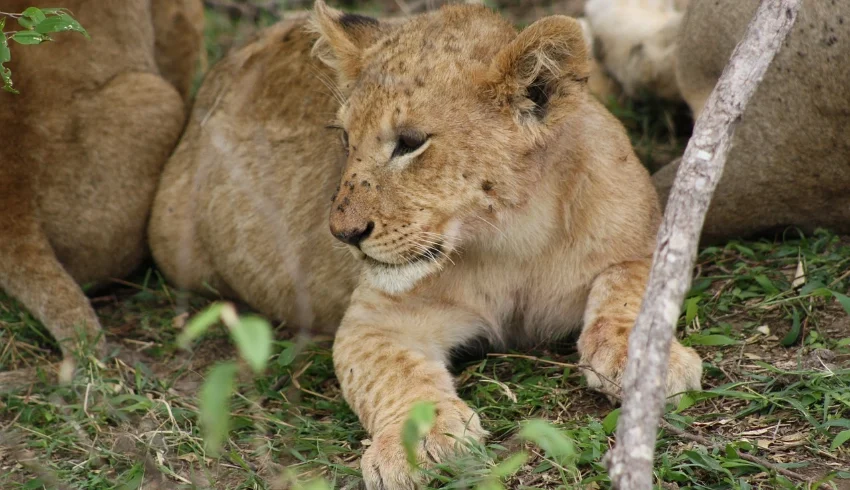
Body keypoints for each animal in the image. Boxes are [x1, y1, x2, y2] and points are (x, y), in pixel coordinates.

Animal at [149, 1, 702, 487]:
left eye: (411, 143)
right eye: (344, 139)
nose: (343, 234)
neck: (513, 239)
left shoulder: (646, 241)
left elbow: (630, 289)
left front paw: (642, 359)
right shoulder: (374, 320)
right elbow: (394, 374)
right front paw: (421, 439)